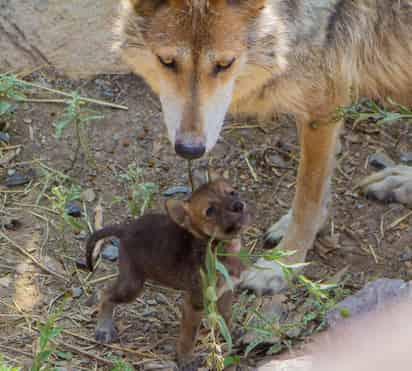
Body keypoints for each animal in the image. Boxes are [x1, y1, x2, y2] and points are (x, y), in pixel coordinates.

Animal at [114, 0, 412, 296]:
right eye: (167, 61)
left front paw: (283, 264)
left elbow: (308, 196)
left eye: (225, 64)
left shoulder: (325, 100)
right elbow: (318, 189)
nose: (189, 149)